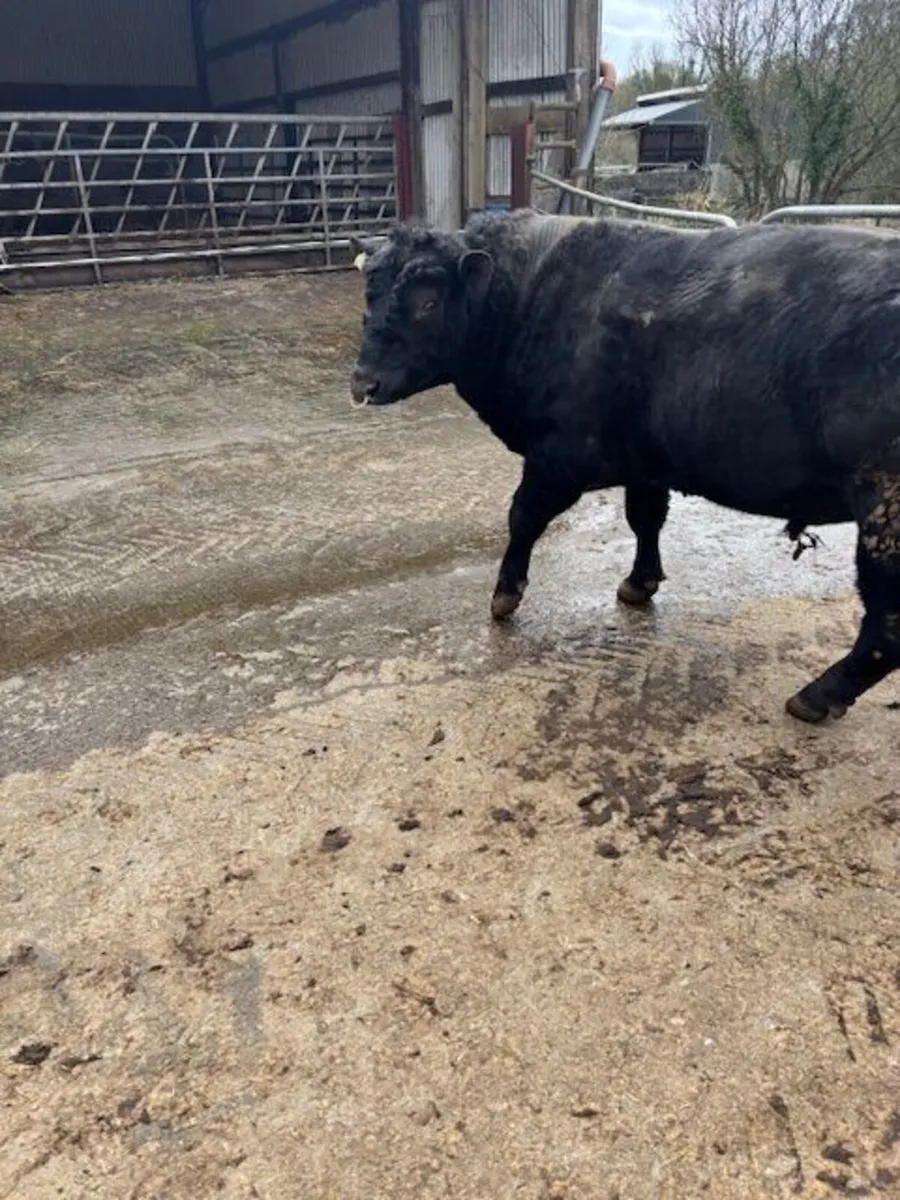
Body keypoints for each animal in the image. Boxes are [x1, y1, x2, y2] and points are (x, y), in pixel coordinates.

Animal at [348, 210, 900, 724]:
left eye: (427, 304)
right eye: (369, 299)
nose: (363, 384)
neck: (535, 296)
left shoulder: (559, 455)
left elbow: (523, 518)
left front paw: (505, 595)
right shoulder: (645, 463)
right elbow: (645, 518)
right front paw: (640, 583)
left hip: (884, 514)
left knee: (887, 623)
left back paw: (818, 695)